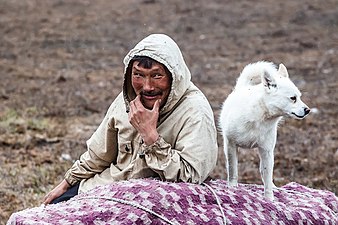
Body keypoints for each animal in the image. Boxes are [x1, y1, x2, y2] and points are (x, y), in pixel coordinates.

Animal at [219, 60, 312, 200]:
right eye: (293, 98)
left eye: (299, 97)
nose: (308, 110)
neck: (260, 115)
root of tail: (243, 87)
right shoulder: (230, 144)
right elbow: (232, 169)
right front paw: (232, 188)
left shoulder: (266, 151)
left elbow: (267, 177)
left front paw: (269, 198)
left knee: (264, 173)